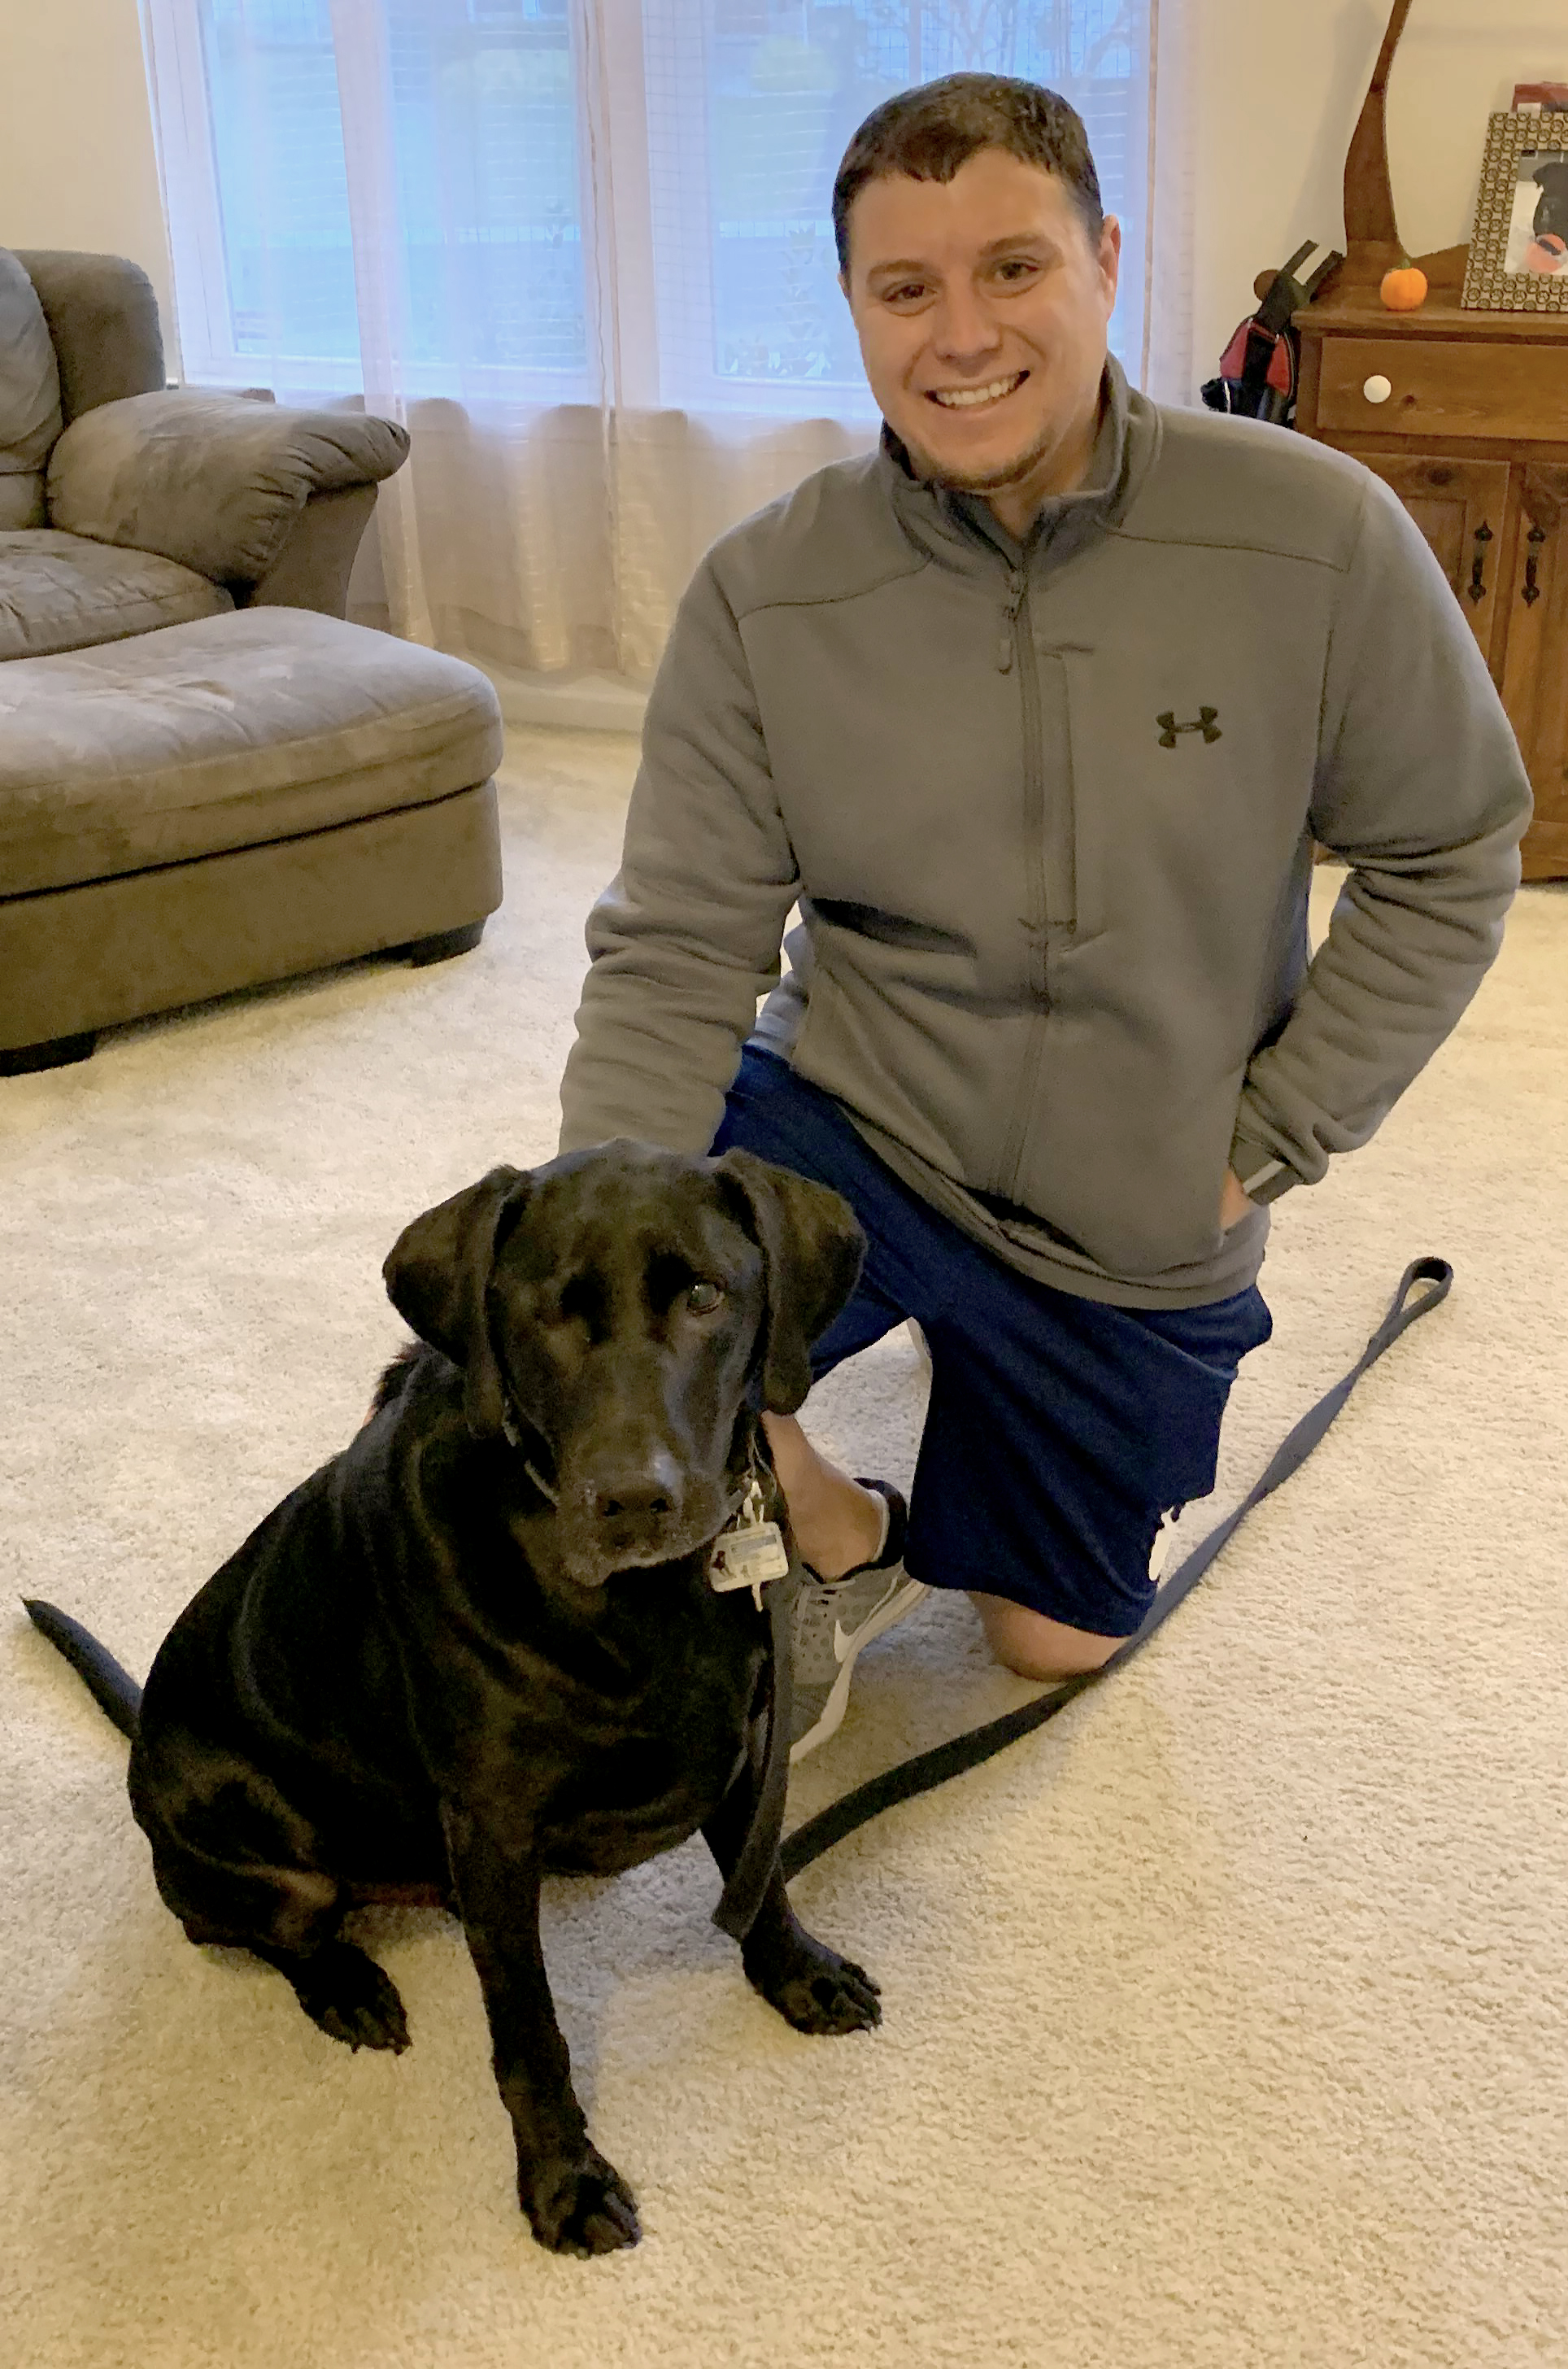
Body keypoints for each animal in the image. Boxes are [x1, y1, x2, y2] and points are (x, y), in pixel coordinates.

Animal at [21, 1141, 886, 2255]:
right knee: (251, 1930)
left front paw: (800, 1974)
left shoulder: (743, 1734)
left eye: (705, 1295)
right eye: (544, 1312)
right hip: (272, 1860)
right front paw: (563, 2178)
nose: (631, 1500)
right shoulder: (492, 1829)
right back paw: (347, 1986)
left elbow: (763, 1877)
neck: (637, 1600)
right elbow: (527, 2027)